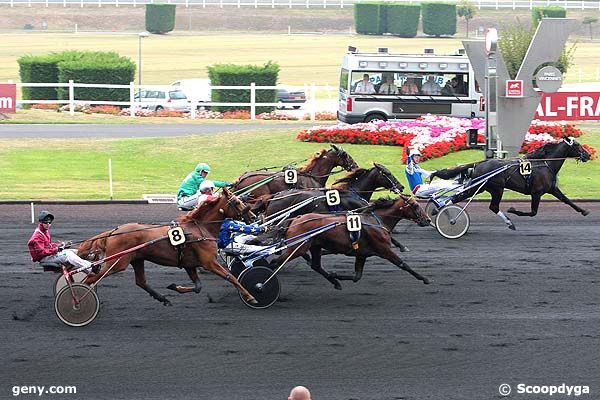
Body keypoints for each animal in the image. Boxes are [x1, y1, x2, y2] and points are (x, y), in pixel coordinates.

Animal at [77, 188, 258, 306]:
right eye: (237, 202)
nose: (252, 216)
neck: (199, 228)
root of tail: (114, 231)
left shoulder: (189, 264)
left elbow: (198, 287)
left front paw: (174, 287)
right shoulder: (209, 262)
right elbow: (231, 277)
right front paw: (250, 296)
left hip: (137, 259)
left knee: (140, 282)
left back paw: (162, 298)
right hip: (118, 262)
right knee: (92, 277)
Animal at [270, 195, 432, 290]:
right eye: (415, 206)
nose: (428, 220)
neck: (377, 220)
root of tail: (296, 219)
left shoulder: (362, 254)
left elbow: (356, 276)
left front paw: (336, 275)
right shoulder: (384, 250)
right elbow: (403, 264)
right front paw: (424, 278)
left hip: (314, 246)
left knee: (316, 265)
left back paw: (335, 282)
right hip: (298, 248)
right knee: (275, 263)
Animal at [432, 138, 592, 230]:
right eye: (578, 145)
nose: (588, 154)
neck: (545, 164)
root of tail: (479, 163)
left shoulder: (552, 188)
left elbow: (567, 200)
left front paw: (584, 211)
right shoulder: (536, 193)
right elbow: (533, 212)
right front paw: (513, 209)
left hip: (481, 187)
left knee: (460, 197)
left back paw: (437, 210)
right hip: (496, 188)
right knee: (492, 206)